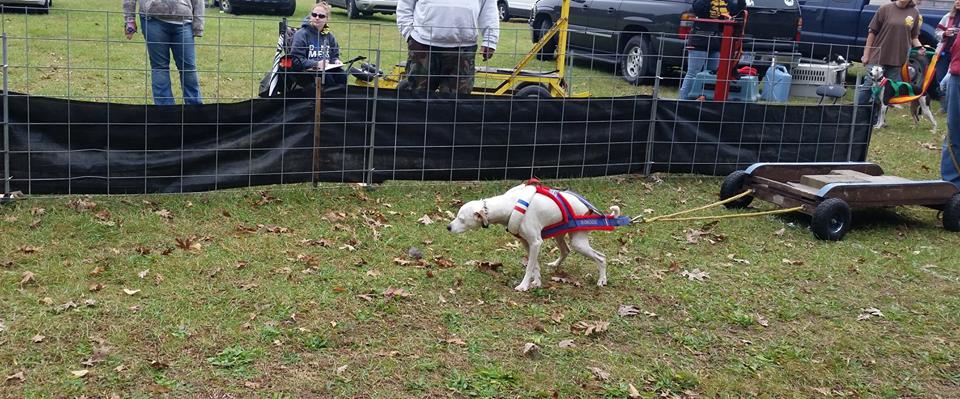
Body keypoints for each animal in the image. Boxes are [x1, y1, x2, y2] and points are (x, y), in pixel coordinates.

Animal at [448, 181, 628, 290]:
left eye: (461, 219)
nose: (448, 227)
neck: (510, 205)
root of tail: (589, 207)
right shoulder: (526, 243)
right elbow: (535, 265)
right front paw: (537, 282)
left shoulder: (535, 242)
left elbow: (529, 267)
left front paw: (524, 286)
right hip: (559, 236)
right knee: (565, 251)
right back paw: (555, 264)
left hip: (579, 242)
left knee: (601, 257)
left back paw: (602, 280)